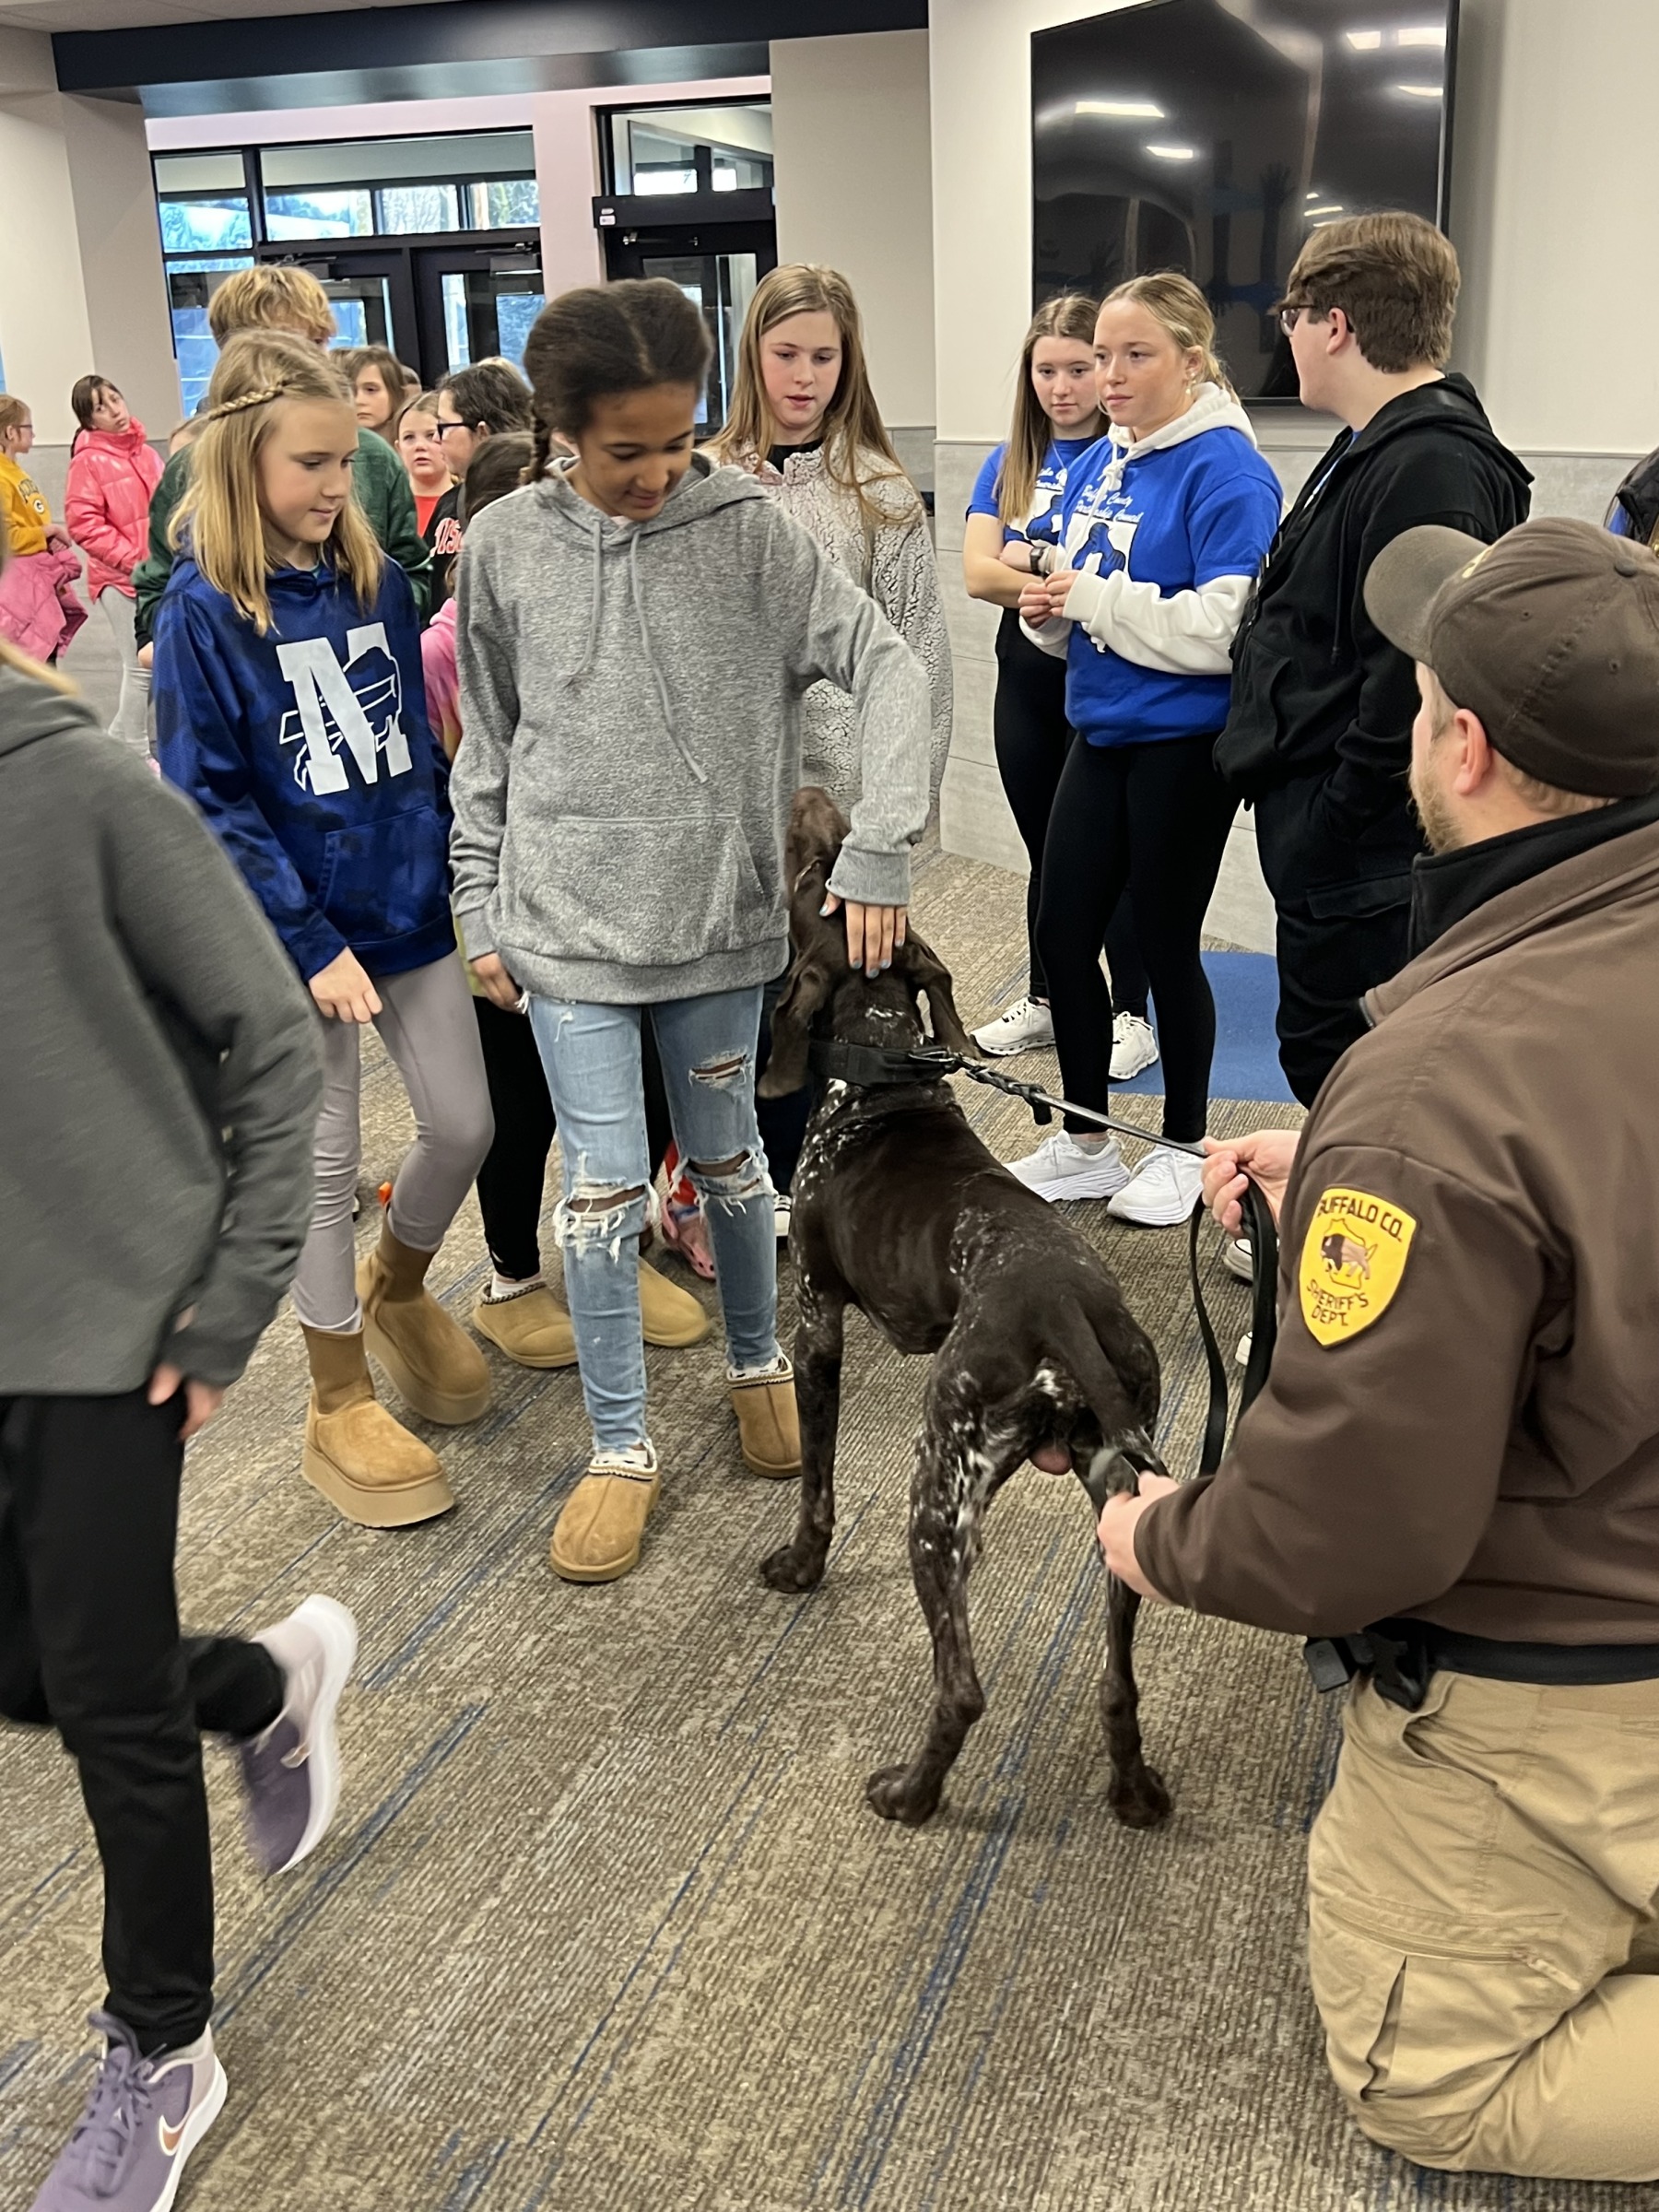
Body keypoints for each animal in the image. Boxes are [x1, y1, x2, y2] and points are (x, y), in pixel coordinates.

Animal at [760, 796, 1176, 1831]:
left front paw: (800, 1565)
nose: (817, 798)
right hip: (1119, 1491)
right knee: (1119, 1683)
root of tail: (1066, 1316)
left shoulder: (817, 1320)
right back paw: (1133, 1790)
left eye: (813, 872)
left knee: (963, 1688)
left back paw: (910, 1794)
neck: (877, 1073)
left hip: (940, 1484)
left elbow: (816, 1480)